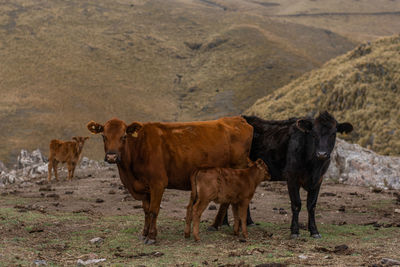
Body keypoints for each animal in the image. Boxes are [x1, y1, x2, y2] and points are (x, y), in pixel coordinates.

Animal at [86, 117, 253, 245]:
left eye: (123, 137)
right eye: (103, 136)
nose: (111, 156)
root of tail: (237, 119)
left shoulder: (158, 183)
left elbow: (154, 211)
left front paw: (152, 237)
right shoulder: (144, 188)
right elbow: (146, 211)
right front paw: (144, 233)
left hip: (237, 170)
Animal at [241, 112, 350, 240]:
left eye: (333, 133)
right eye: (313, 134)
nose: (322, 154)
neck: (313, 167)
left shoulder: (318, 180)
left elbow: (312, 206)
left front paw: (314, 231)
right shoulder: (292, 177)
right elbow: (296, 204)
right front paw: (295, 231)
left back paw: (249, 222)